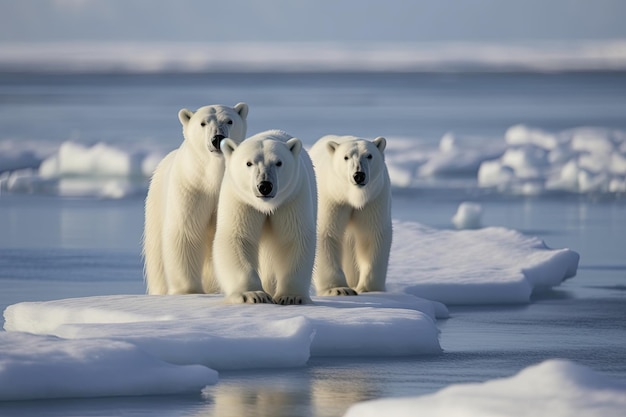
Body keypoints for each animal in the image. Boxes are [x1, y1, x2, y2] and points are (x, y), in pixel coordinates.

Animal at [143, 102, 247, 294]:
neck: (213, 178)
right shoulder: (191, 188)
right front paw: (188, 290)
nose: (217, 138)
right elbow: (185, 232)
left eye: (229, 121)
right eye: (203, 123)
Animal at [214, 128, 314, 304]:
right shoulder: (241, 200)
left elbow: (294, 239)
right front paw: (253, 294)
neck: (266, 206)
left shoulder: (291, 198)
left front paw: (291, 297)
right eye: (249, 163)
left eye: (279, 162)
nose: (265, 186)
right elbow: (237, 237)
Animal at [310, 135, 392, 294]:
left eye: (369, 155)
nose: (359, 175)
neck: (351, 196)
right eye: (346, 157)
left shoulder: (372, 201)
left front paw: (368, 289)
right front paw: (339, 289)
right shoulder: (332, 199)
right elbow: (326, 233)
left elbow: (372, 235)